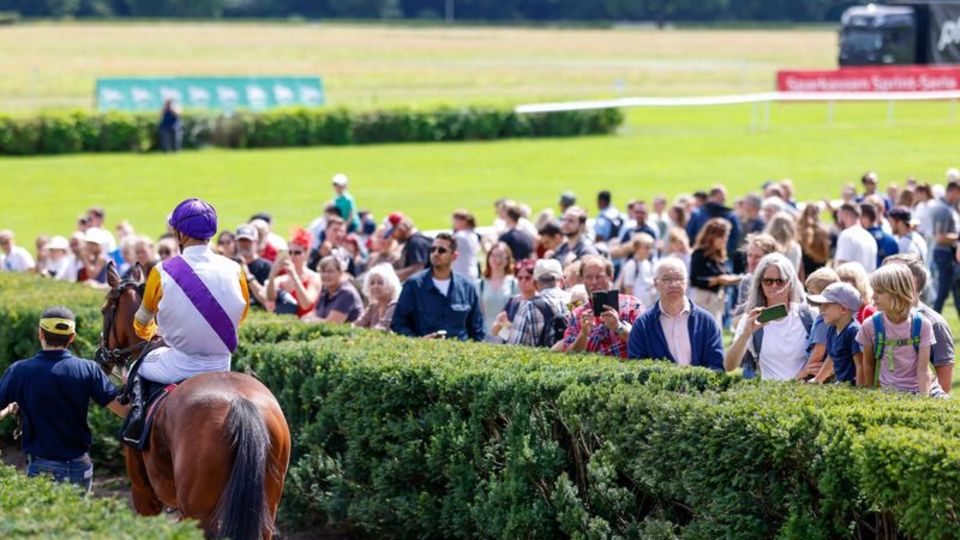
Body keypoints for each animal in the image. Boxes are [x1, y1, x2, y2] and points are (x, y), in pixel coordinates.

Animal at [98, 264, 294, 536]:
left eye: (105, 309)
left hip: (199, 510)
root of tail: (240, 403)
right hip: (265, 505)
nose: (100, 355)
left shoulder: (143, 495)